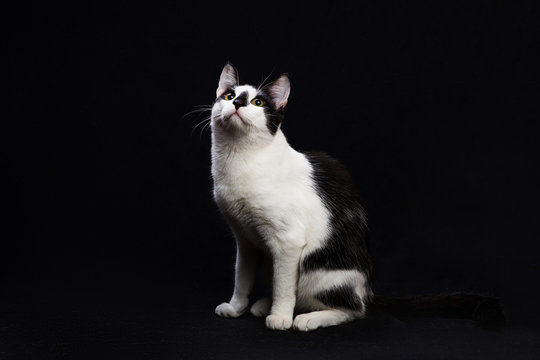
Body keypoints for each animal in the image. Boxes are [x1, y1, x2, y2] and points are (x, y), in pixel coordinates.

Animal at [209, 63, 504, 330]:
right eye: (229, 95)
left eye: (257, 102)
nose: (237, 102)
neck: (240, 159)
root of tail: (367, 290)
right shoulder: (245, 240)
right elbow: (241, 278)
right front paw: (236, 308)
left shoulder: (288, 242)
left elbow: (284, 287)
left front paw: (280, 317)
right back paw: (264, 304)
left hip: (317, 271)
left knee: (351, 309)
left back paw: (307, 318)